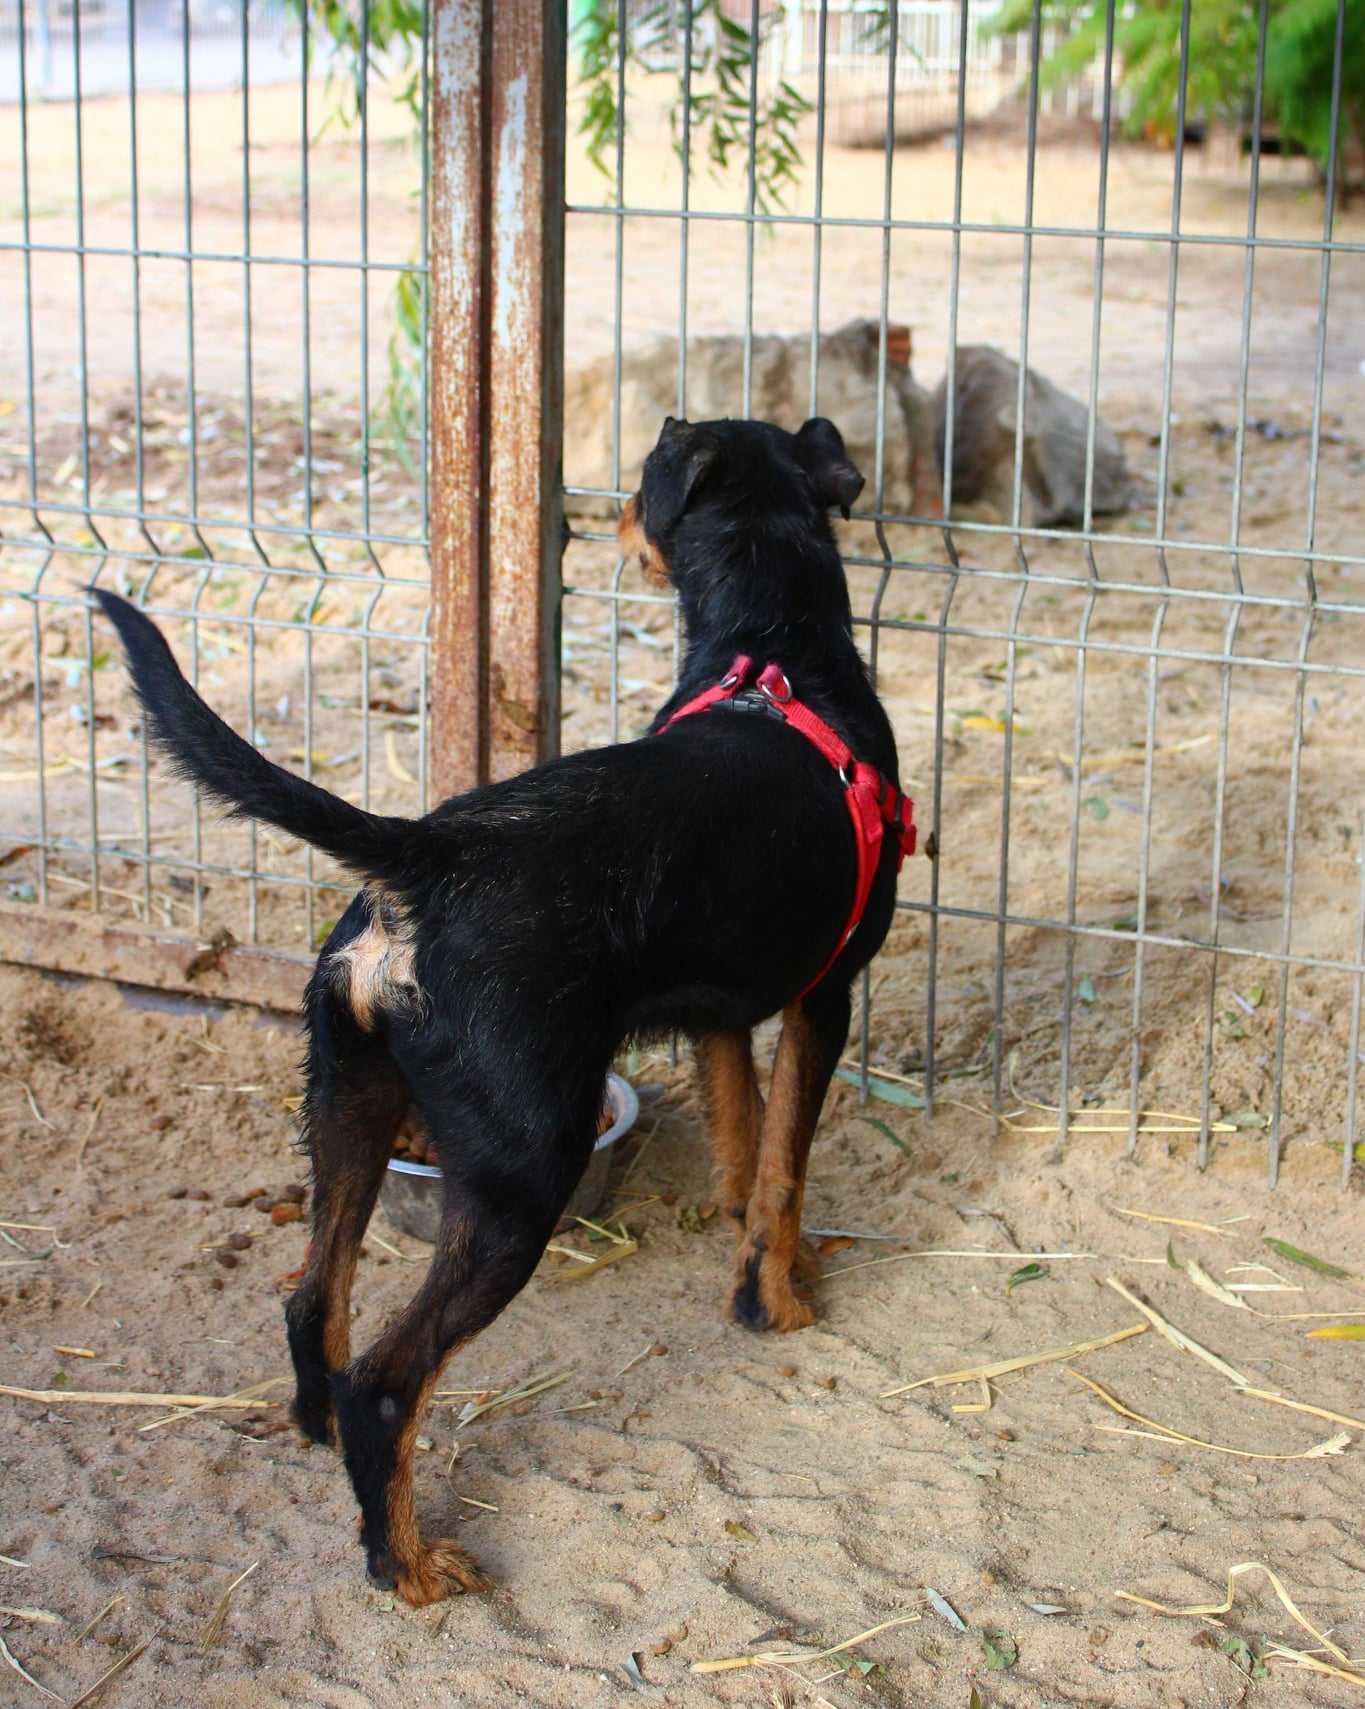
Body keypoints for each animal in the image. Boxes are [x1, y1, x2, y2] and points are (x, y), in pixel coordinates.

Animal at [98, 410, 915, 1599]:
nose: (605, 517)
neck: (776, 653)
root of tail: (424, 855)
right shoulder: (826, 997)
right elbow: (785, 1171)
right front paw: (779, 1305)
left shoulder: (722, 1011)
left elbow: (747, 1140)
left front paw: (760, 1253)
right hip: (523, 1175)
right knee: (389, 1376)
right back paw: (406, 1563)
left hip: (348, 1107)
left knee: (312, 1302)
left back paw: (324, 1448)